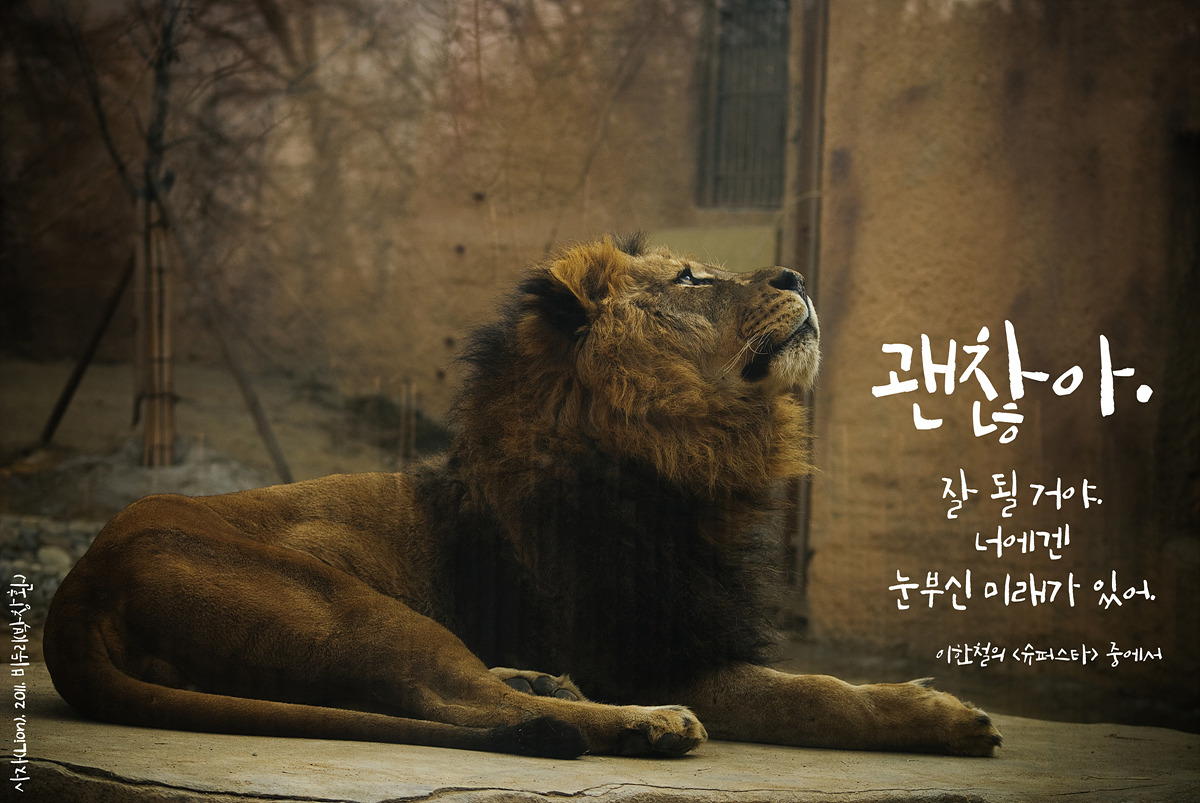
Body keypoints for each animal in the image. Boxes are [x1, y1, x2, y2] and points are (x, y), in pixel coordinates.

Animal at [44, 235, 1002, 758]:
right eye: (691, 280)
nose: (798, 277)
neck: (688, 457)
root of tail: (77, 590)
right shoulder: (645, 651)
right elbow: (812, 691)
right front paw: (941, 713)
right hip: (352, 606)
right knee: (461, 701)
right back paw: (642, 724)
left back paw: (546, 678)